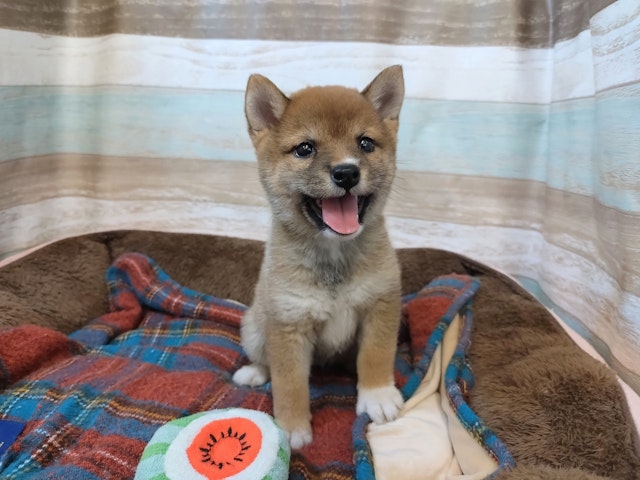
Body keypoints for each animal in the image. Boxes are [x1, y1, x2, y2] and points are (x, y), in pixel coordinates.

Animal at [234, 65, 404, 448]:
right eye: (305, 148)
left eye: (365, 143)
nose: (346, 172)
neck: (334, 257)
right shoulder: (288, 324)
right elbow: (289, 384)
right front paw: (291, 429)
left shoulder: (380, 304)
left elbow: (377, 356)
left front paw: (377, 395)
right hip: (256, 327)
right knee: (263, 359)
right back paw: (253, 372)